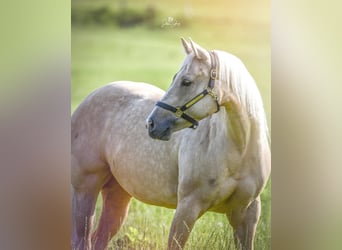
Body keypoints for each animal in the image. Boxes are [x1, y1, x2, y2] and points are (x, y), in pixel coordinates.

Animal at [72, 38, 270, 249]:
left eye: (186, 81)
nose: (151, 124)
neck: (239, 150)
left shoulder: (247, 215)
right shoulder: (187, 208)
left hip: (118, 195)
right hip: (85, 190)